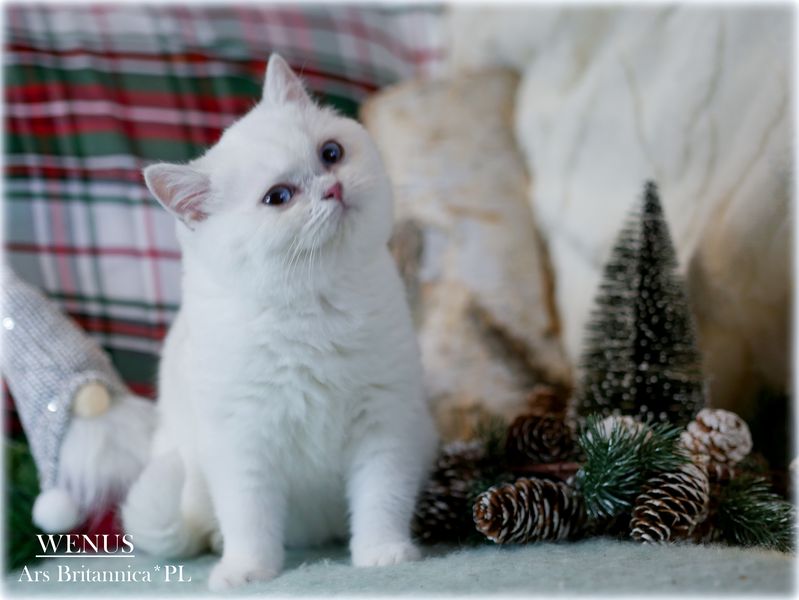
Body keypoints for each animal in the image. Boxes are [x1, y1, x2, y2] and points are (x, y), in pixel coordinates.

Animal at [121, 54, 438, 591]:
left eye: (331, 153)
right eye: (278, 197)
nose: (333, 187)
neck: (314, 307)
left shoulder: (386, 423)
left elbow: (382, 498)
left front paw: (382, 553)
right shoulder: (241, 443)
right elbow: (249, 517)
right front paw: (247, 571)